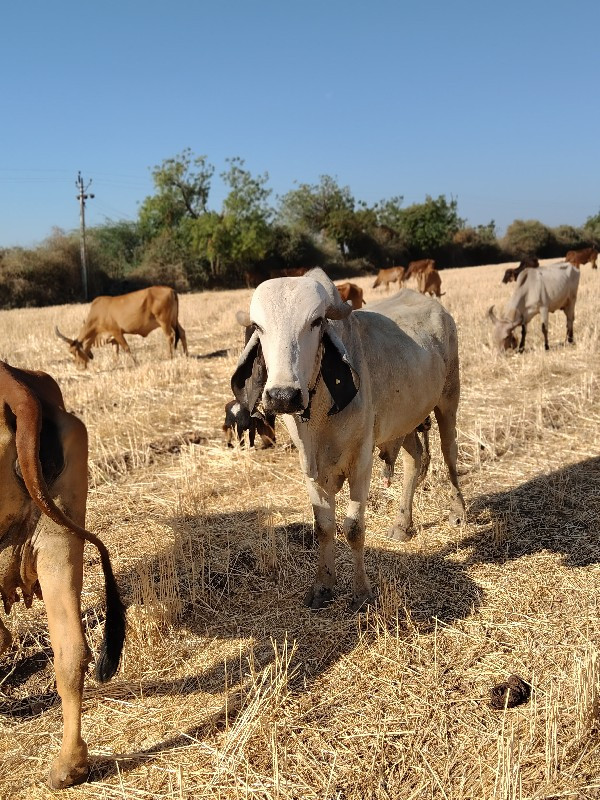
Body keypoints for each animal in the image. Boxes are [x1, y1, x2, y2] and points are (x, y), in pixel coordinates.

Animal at [56, 284, 189, 366]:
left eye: (73, 351)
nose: (80, 367)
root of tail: (171, 290)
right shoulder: (113, 338)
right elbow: (116, 353)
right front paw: (115, 365)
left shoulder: (117, 332)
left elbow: (126, 348)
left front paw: (135, 362)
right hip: (173, 320)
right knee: (182, 332)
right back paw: (186, 354)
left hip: (164, 321)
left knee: (170, 336)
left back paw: (170, 356)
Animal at [232, 268, 466, 612]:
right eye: (258, 326)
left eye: (316, 321)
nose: (283, 396)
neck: (321, 413)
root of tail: (438, 309)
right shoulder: (310, 467)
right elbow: (323, 527)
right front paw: (322, 586)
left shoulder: (361, 462)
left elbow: (353, 527)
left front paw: (361, 593)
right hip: (404, 423)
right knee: (414, 459)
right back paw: (403, 524)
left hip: (448, 400)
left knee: (449, 456)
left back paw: (458, 512)